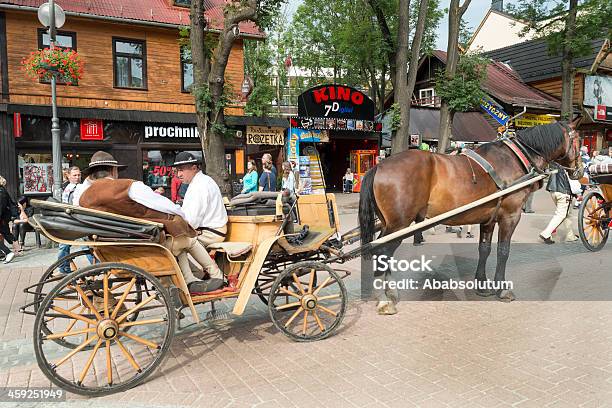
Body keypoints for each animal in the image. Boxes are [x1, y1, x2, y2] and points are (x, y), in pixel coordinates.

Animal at [358, 119, 584, 314]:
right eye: (580, 141)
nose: (580, 172)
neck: (514, 159)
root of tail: (379, 166)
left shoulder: (489, 219)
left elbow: (484, 249)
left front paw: (482, 284)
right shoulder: (510, 216)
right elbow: (503, 251)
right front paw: (502, 288)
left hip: (392, 225)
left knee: (385, 255)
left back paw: (390, 292)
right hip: (399, 224)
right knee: (382, 253)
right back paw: (383, 300)